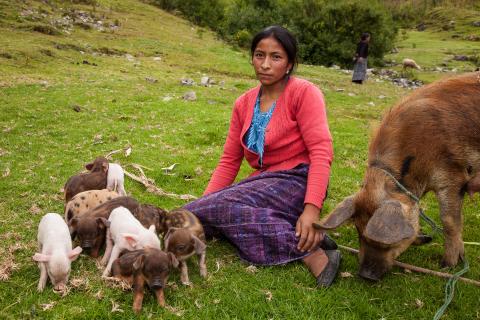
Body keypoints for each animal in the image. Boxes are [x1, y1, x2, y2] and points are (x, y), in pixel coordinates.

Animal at [314, 72, 480, 280]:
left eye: (383, 243)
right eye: (358, 230)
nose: (365, 275)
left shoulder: (454, 174)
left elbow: (449, 220)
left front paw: (447, 266)